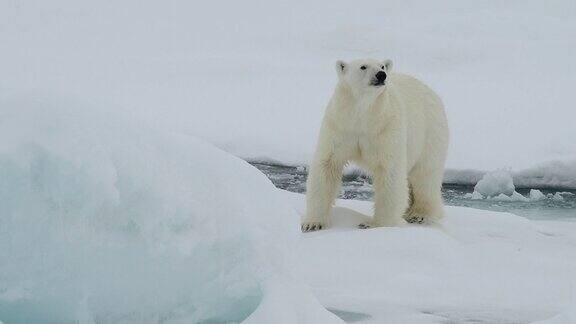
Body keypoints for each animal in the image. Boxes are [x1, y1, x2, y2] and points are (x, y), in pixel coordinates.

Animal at [302, 59, 450, 232]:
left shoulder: (386, 128)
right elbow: (327, 165)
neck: (363, 114)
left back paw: (419, 214)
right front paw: (312, 223)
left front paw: (375, 224)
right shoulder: (339, 126)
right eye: (363, 66)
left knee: (425, 175)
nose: (381, 75)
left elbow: (389, 171)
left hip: (430, 133)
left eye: (382, 66)